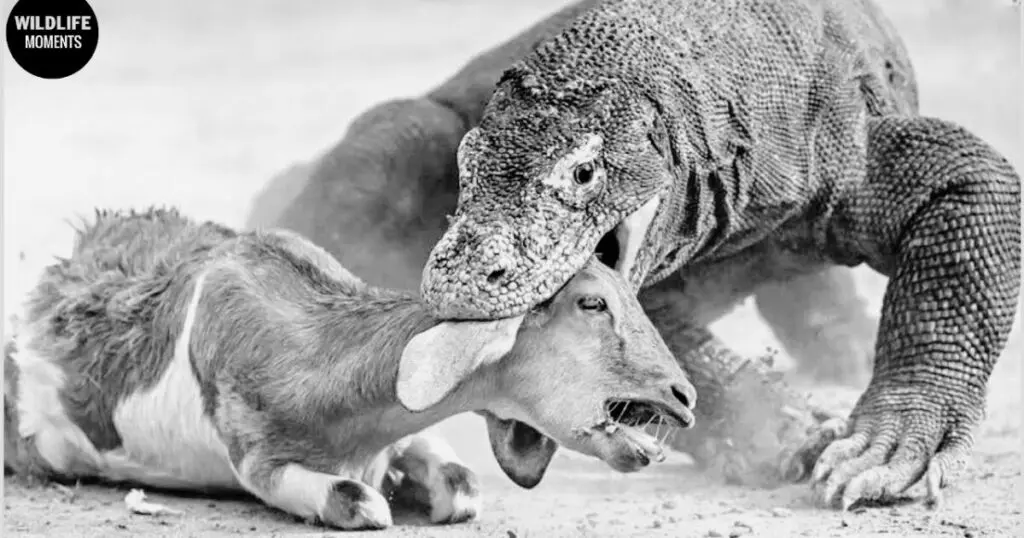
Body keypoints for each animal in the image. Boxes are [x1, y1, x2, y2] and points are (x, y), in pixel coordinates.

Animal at [2, 208, 696, 528]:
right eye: (592, 302)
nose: (683, 395)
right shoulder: (259, 461)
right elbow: (357, 501)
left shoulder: (410, 431)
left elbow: (462, 486)